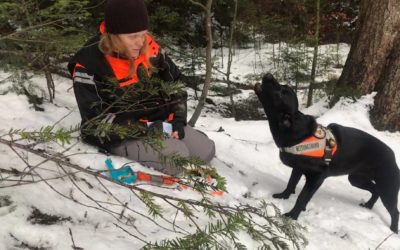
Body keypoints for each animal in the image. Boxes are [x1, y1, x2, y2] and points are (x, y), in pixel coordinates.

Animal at [255, 73, 398, 233]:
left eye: (281, 92)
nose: (268, 75)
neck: (296, 132)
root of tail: (393, 156)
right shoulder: (298, 169)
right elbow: (291, 184)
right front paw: (284, 196)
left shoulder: (317, 177)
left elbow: (302, 197)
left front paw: (292, 215)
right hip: (356, 179)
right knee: (375, 191)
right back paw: (368, 205)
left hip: (388, 189)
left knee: (395, 211)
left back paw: (393, 229)